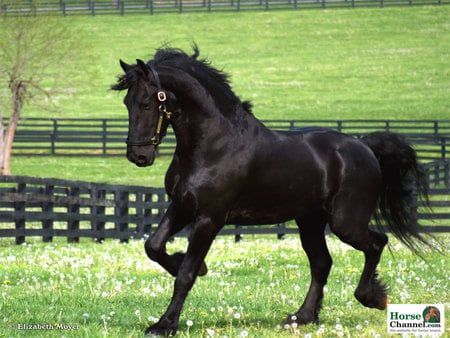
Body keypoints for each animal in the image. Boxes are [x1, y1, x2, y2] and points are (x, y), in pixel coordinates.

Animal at [111, 46, 428, 336]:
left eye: (147, 103)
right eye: (126, 102)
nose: (138, 156)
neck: (214, 145)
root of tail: (363, 145)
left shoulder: (209, 219)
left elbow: (186, 275)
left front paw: (164, 325)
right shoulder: (181, 207)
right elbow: (153, 246)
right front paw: (188, 266)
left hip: (345, 223)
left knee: (376, 243)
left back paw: (373, 298)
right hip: (310, 221)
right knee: (322, 263)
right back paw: (302, 317)